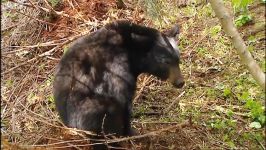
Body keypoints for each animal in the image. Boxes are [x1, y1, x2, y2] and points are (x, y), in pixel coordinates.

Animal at [53, 20, 184, 149]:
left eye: (178, 60)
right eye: (166, 62)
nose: (180, 82)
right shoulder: (119, 76)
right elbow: (125, 105)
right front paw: (132, 133)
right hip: (94, 108)